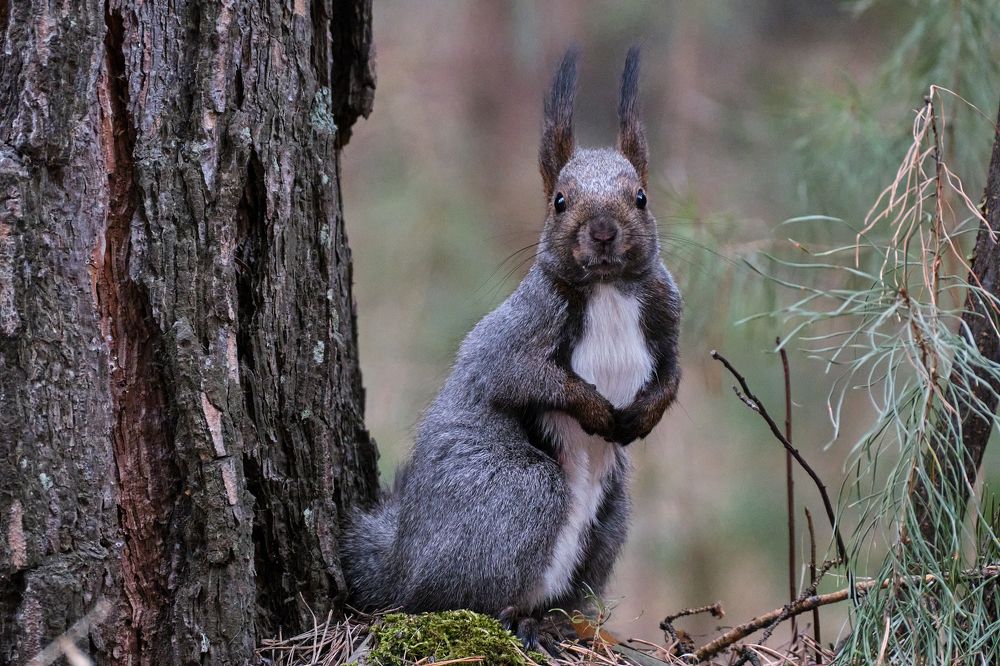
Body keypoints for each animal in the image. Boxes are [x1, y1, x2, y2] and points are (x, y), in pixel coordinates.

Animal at [341, 47, 681, 647]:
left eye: (641, 197)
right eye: (559, 202)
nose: (602, 231)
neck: (607, 289)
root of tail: (400, 564)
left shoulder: (669, 318)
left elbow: (672, 375)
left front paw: (645, 415)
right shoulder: (511, 337)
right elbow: (518, 377)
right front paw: (595, 408)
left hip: (610, 519)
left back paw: (554, 621)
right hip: (517, 493)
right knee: (445, 598)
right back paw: (509, 617)